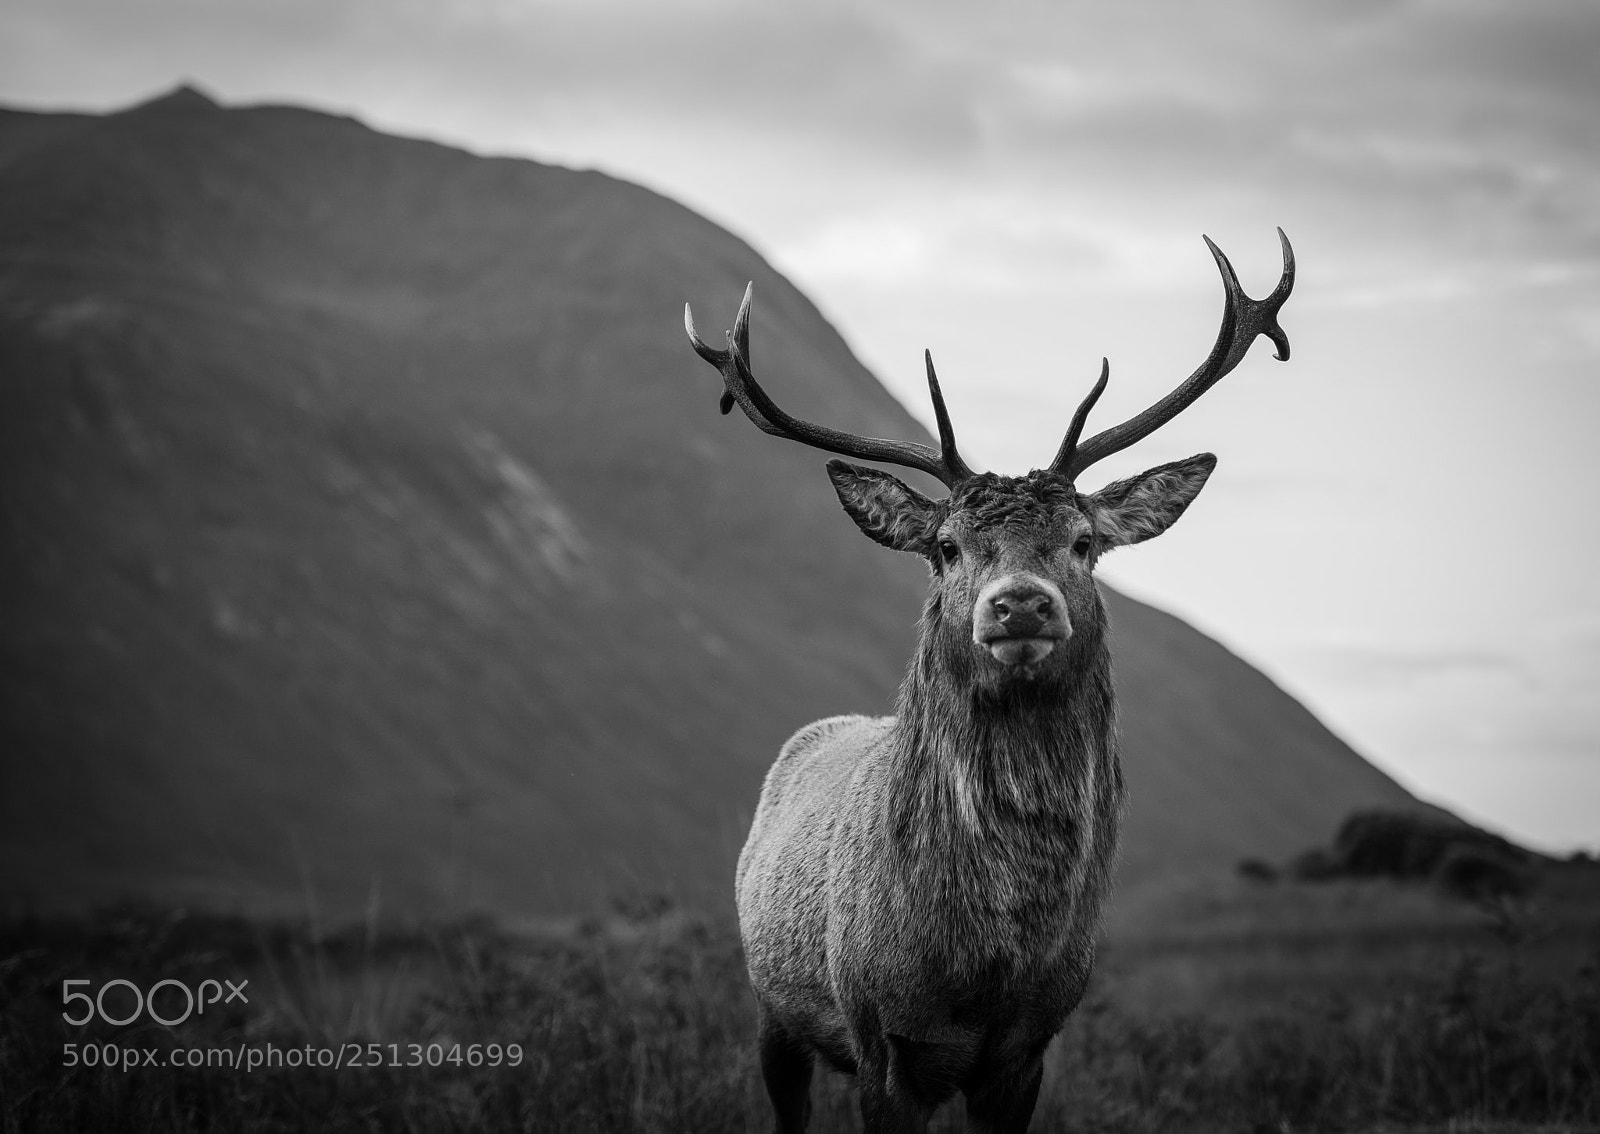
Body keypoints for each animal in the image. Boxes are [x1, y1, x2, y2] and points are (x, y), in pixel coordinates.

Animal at [684, 230, 1294, 1134]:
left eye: (1084, 540)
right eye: (946, 546)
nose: (1020, 604)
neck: (986, 969)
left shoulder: (1028, 1048)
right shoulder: (881, 1038)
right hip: (773, 1010)